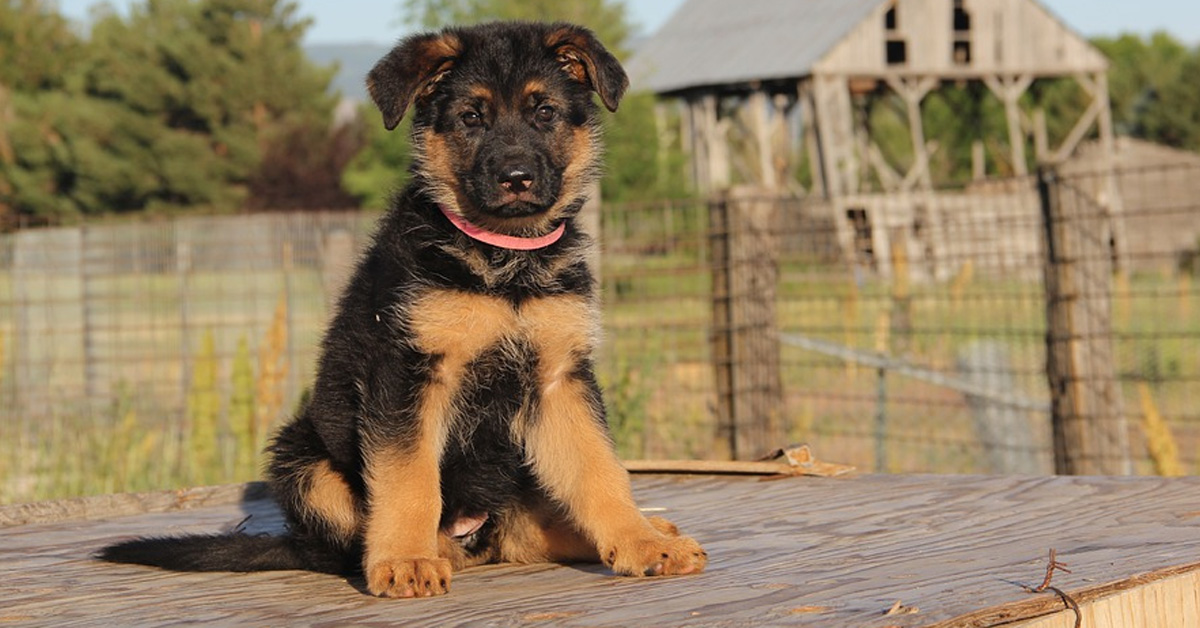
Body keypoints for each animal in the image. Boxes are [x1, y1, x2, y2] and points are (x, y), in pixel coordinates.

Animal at [103, 20, 705, 600]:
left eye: (545, 113)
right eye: (471, 117)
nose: (516, 178)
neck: (503, 258)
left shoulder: (560, 379)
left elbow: (601, 470)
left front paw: (640, 541)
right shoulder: (407, 374)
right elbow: (409, 478)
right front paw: (405, 561)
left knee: (527, 532)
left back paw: (645, 530)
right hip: (304, 458)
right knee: (358, 540)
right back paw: (419, 552)